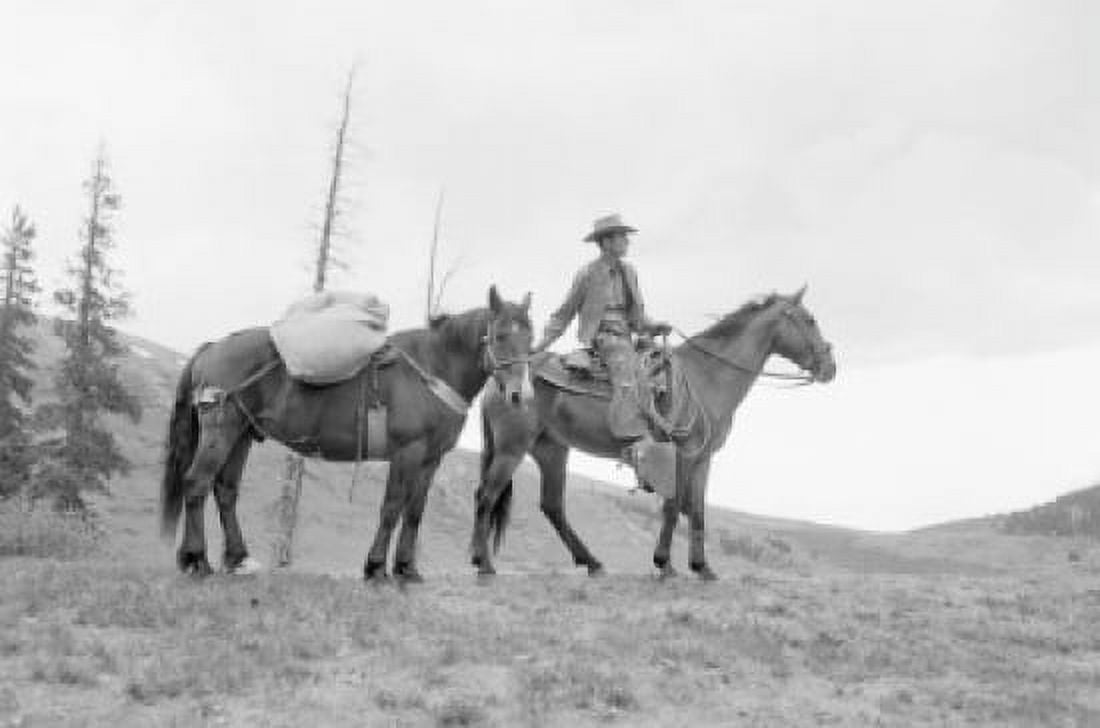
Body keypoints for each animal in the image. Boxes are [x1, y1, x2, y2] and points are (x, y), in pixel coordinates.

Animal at [160, 286, 533, 583]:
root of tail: (211, 349)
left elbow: (414, 511)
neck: (433, 371)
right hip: (222, 430)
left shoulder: (430, 460)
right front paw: (376, 566)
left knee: (225, 491)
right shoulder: (407, 452)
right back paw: (197, 559)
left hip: (241, 434)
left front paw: (407, 568)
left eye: (530, 340)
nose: (520, 396)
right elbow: (392, 507)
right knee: (196, 483)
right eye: (500, 335)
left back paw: (236, 558)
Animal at [470, 286, 836, 580]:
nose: (830, 366)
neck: (706, 377)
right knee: (487, 495)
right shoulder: (684, 453)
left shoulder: (703, 459)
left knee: (551, 506)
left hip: (551, 450)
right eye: (809, 320)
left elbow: (697, 510)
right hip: (511, 449)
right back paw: (483, 563)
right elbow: (673, 506)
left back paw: (591, 562)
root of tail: (501, 379)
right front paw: (665, 563)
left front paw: (702, 567)